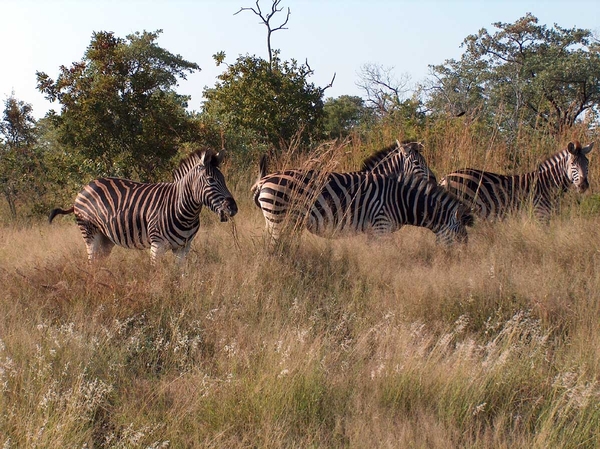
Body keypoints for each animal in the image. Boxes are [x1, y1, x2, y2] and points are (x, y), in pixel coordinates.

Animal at [48, 150, 239, 262]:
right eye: (211, 180)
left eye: (224, 179)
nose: (233, 208)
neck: (184, 211)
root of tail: (84, 188)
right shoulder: (157, 245)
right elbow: (159, 276)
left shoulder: (183, 247)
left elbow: (180, 277)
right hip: (90, 234)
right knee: (92, 264)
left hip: (105, 238)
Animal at [252, 158, 474, 245]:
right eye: (460, 238)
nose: (455, 264)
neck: (401, 199)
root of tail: (264, 180)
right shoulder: (381, 225)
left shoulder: (373, 230)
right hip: (280, 218)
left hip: (275, 220)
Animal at [438, 142, 592, 220]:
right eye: (573, 164)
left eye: (587, 163)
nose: (583, 185)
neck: (547, 184)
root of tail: (446, 177)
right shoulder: (540, 214)